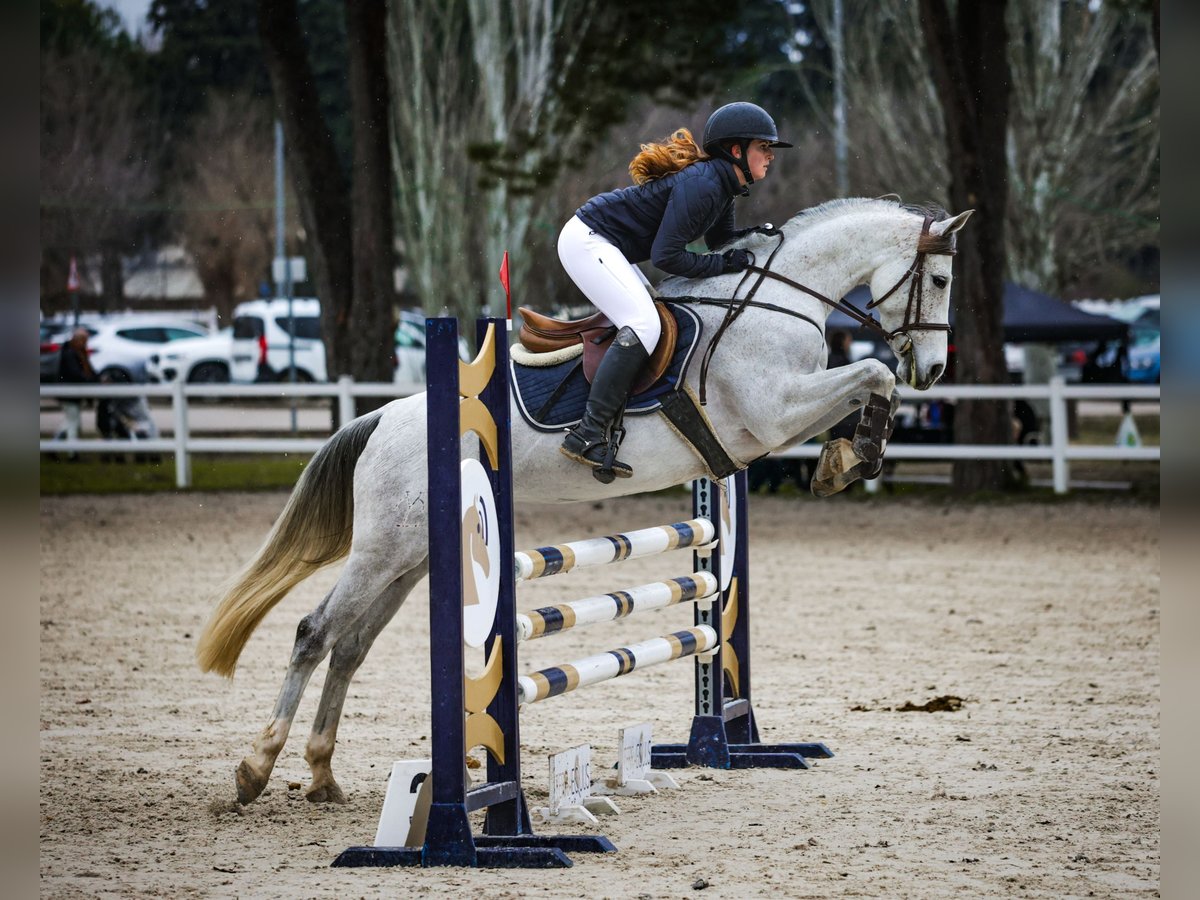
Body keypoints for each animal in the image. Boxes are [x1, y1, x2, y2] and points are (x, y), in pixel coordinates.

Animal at [194, 195, 964, 801]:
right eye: (942, 278)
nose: (933, 371)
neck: (777, 302)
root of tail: (384, 417)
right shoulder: (772, 412)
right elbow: (870, 373)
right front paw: (856, 455)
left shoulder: (767, 429)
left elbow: (864, 386)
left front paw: (846, 457)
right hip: (383, 549)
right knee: (314, 633)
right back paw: (256, 770)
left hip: (409, 559)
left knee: (350, 647)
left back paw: (321, 774)